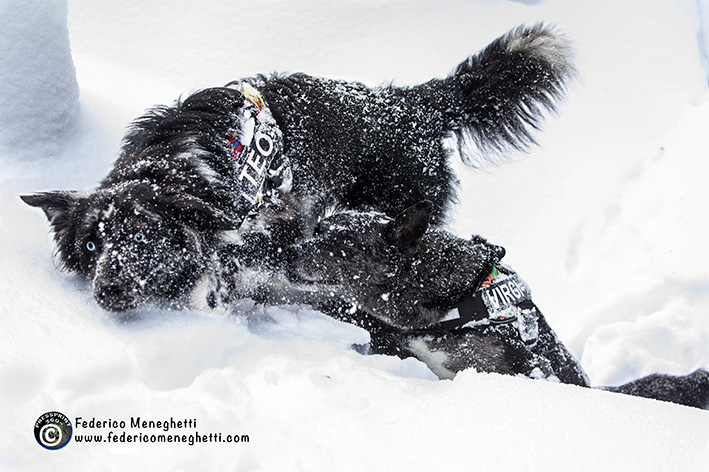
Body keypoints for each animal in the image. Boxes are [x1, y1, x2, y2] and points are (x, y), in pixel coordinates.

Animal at [22, 24, 576, 314]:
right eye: (91, 245)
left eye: (144, 233)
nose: (107, 291)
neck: (180, 164)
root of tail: (410, 103)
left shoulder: (281, 223)